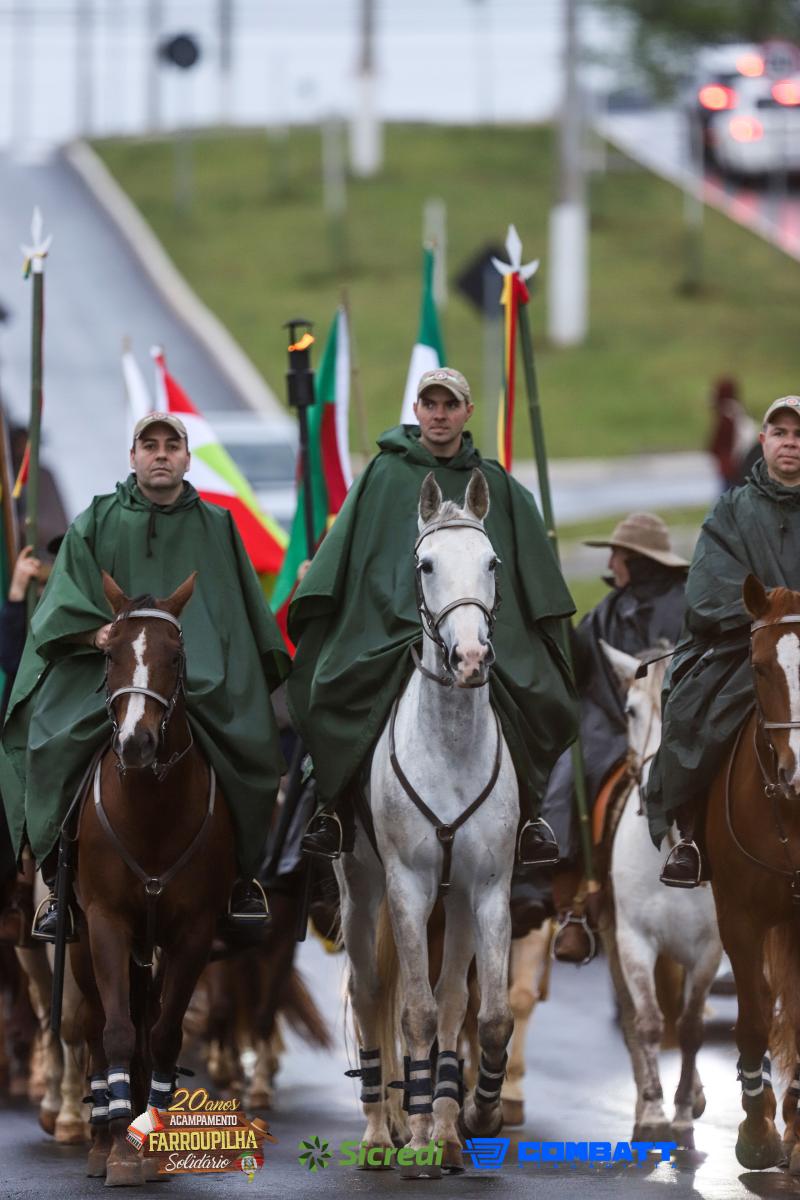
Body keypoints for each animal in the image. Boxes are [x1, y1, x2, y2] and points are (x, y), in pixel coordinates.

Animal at [69, 571, 237, 1185]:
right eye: (110, 653)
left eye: (175, 656)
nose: (137, 744)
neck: (151, 816)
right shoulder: (105, 924)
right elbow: (116, 1030)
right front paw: (120, 1152)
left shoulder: (193, 933)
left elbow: (164, 1033)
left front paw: (152, 1146)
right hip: (80, 942)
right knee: (95, 1025)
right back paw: (100, 1138)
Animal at [335, 469, 518, 1177]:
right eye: (426, 564)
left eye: (492, 561)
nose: (469, 658)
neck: (451, 746)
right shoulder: (407, 887)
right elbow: (412, 1010)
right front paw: (413, 1137)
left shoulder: (488, 891)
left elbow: (484, 1015)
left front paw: (473, 1117)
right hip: (361, 889)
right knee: (368, 992)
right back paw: (380, 1132)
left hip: (457, 905)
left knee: (453, 1002)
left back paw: (441, 1123)